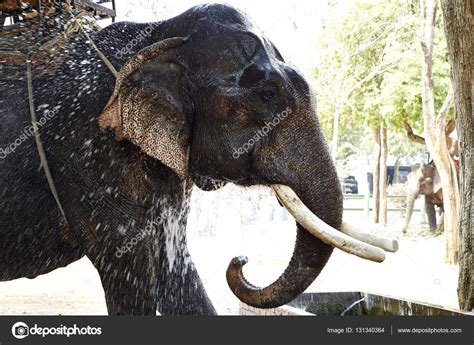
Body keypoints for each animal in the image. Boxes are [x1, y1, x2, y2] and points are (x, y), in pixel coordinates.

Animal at [0, 3, 394, 314]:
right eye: (267, 96)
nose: (240, 260)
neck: (157, 38)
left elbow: (177, 271)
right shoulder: (88, 155)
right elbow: (130, 266)